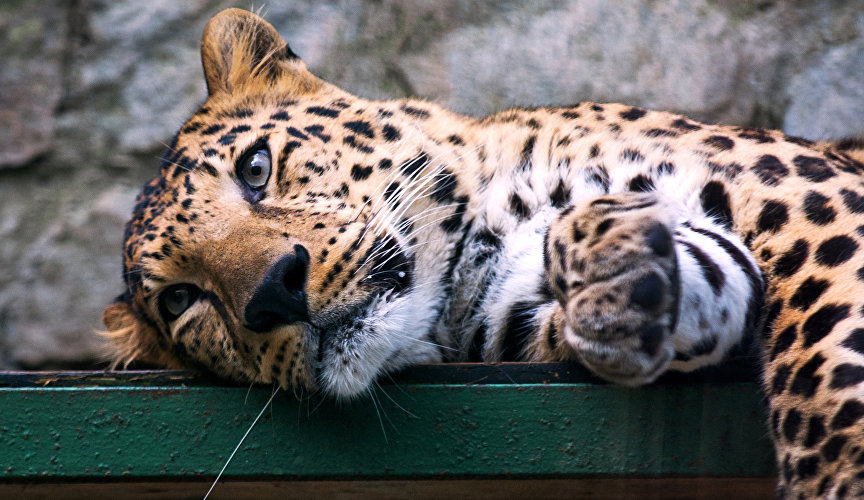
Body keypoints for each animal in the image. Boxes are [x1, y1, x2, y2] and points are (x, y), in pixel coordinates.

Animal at [103, 7, 864, 496]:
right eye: (181, 300)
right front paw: (622, 278)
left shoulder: (796, 192)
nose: (273, 291)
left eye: (256, 168)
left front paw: (837, 476)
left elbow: (824, 347)